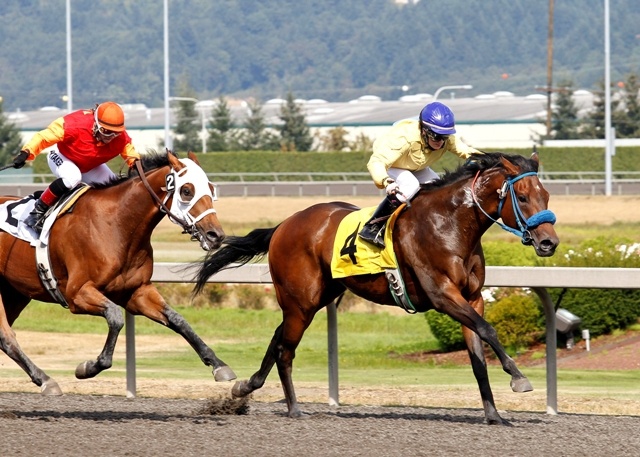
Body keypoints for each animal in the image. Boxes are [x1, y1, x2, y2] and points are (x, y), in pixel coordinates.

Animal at [0, 150, 236, 392]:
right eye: (187, 190)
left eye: (210, 188)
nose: (215, 235)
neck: (117, 225)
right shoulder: (76, 293)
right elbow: (115, 317)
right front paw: (89, 366)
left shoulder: (136, 292)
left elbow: (177, 319)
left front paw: (218, 364)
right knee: (6, 336)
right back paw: (45, 379)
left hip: (15, 292)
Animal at [195, 151, 560, 422]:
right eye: (522, 196)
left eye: (546, 195)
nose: (549, 242)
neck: (451, 225)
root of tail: (285, 224)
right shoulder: (443, 295)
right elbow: (488, 330)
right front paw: (519, 378)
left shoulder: (471, 297)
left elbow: (477, 355)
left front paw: (494, 414)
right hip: (302, 300)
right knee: (286, 348)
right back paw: (294, 408)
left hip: (316, 297)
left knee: (278, 336)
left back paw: (245, 387)